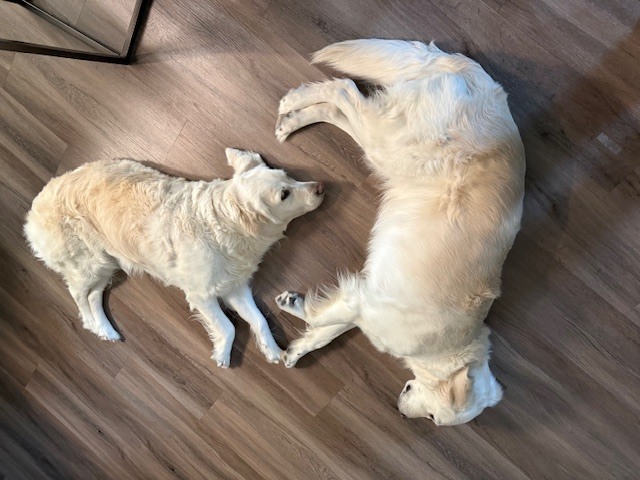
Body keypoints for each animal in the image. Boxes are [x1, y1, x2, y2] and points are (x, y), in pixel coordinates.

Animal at [24, 148, 325, 367]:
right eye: (284, 194)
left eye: (288, 176)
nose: (320, 187)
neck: (223, 223)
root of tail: (36, 203)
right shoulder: (201, 294)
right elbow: (228, 326)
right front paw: (223, 354)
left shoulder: (234, 285)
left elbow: (259, 319)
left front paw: (272, 349)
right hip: (87, 264)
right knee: (79, 295)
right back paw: (93, 324)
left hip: (107, 263)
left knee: (94, 295)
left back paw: (105, 329)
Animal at [274, 39, 525, 425]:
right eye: (435, 418)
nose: (401, 412)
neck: (447, 347)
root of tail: (488, 85)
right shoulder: (366, 307)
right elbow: (321, 317)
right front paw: (297, 308)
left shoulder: (363, 301)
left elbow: (327, 329)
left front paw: (298, 348)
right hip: (390, 143)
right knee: (343, 89)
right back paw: (293, 103)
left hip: (386, 141)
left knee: (339, 108)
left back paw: (292, 118)